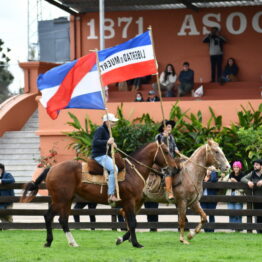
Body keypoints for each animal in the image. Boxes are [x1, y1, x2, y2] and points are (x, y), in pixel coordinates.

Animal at [20, 141, 176, 248]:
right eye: (166, 151)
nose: (174, 168)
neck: (133, 171)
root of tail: (51, 168)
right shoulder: (129, 202)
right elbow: (132, 222)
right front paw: (136, 244)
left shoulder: (134, 203)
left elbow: (130, 222)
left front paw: (120, 239)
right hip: (60, 200)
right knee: (49, 217)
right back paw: (49, 242)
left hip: (66, 200)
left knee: (62, 220)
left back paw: (72, 243)